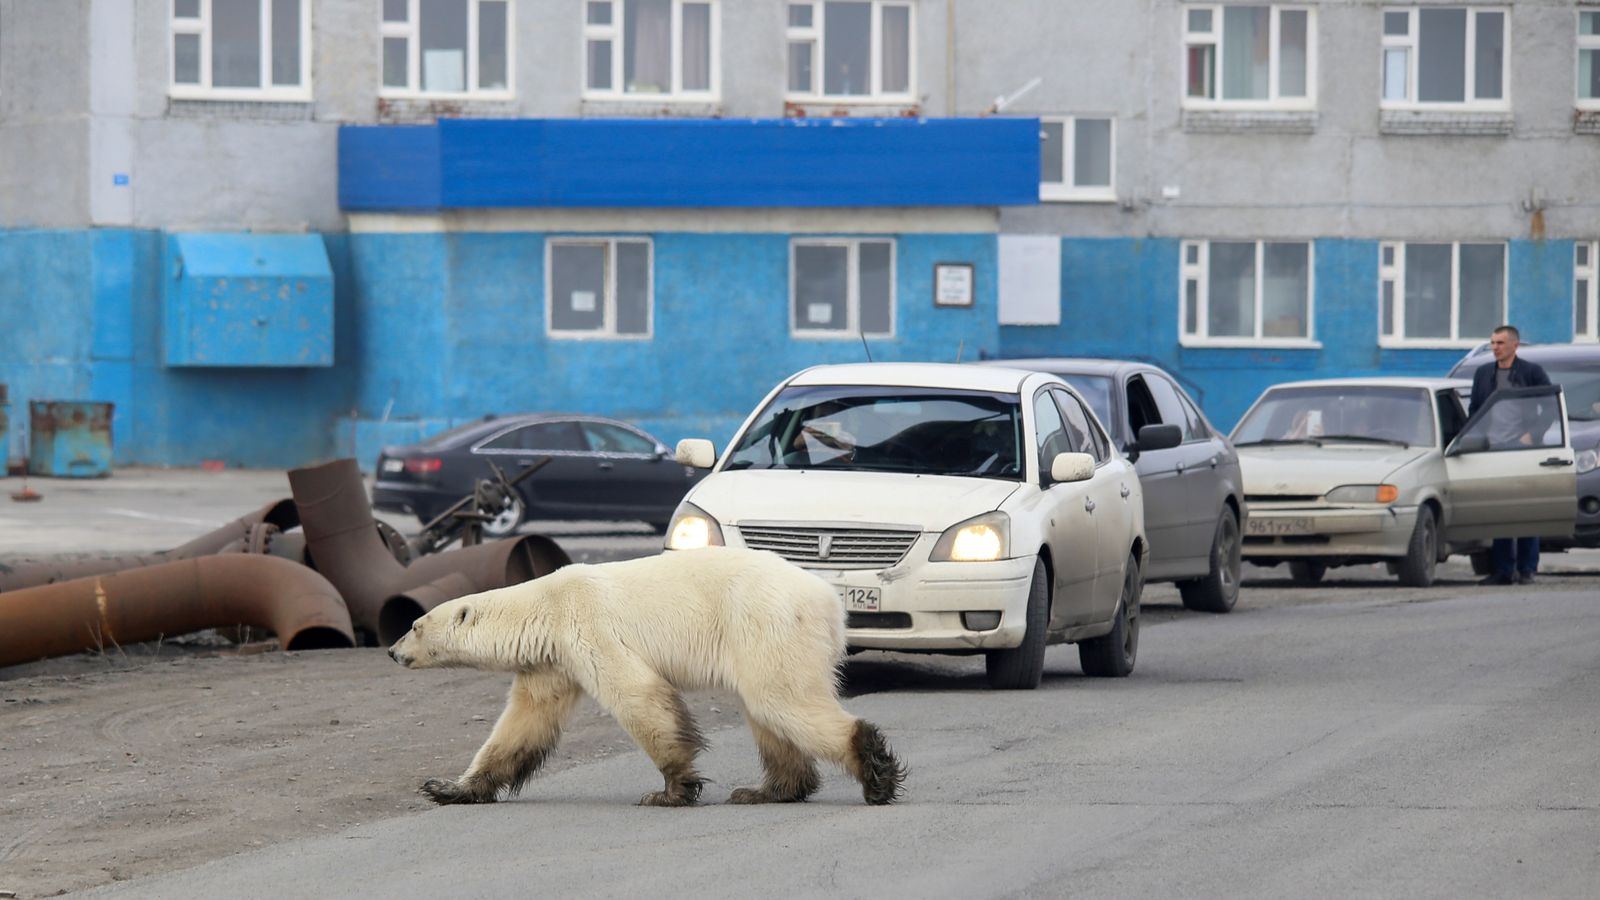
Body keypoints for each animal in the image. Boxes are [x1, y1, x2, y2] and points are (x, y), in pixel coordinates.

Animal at [387, 544, 908, 800]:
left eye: (414, 624)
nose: (391, 651)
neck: (544, 606)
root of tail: (829, 601)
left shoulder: (587, 627)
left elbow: (638, 695)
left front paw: (673, 789)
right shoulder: (551, 661)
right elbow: (523, 723)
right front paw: (446, 788)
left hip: (766, 623)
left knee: (781, 700)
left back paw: (875, 775)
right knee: (768, 713)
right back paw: (766, 791)